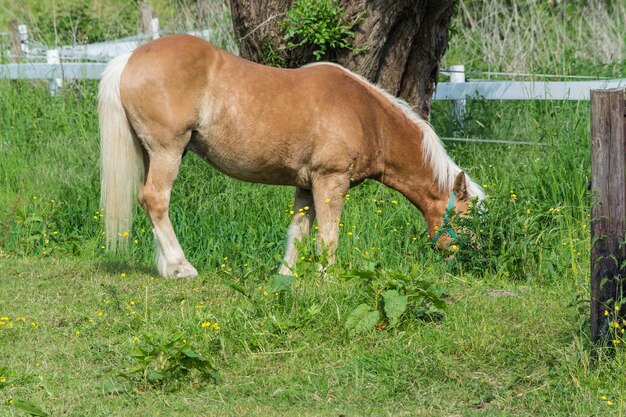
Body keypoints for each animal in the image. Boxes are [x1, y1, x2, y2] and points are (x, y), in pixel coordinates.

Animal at [98, 34, 482, 278]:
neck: (366, 115)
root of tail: (130, 57)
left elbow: (298, 230)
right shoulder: (330, 181)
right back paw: (181, 267)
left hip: (151, 153)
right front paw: (327, 278)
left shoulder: (306, 185)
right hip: (168, 151)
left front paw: (287, 274)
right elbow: (328, 235)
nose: (470, 259)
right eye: (467, 219)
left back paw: (166, 267)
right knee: (156, 199)